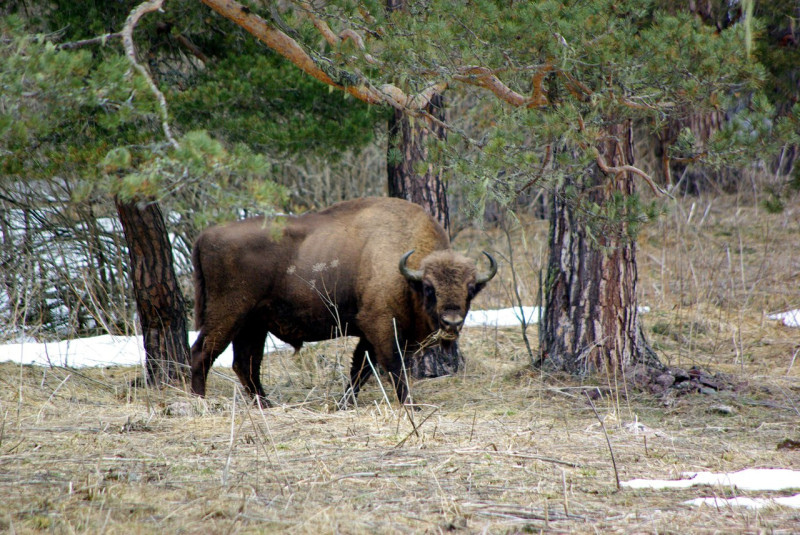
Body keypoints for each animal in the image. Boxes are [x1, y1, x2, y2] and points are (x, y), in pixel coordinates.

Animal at [190, 196, 496, 405]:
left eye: (471, 289)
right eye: (430, 288)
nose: (452, 322)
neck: (406, 275)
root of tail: (204, 235)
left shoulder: (368, 334)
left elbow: (360, 369)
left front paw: (343, 404)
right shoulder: (380, 326)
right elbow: (391, 367)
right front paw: (411, 406)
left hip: (253, 325)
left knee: (245, 364)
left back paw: (266, 405)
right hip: (228, 315)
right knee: (203, 353)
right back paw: (201, 401)